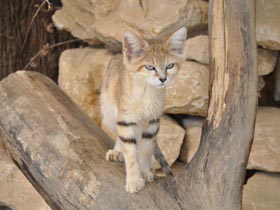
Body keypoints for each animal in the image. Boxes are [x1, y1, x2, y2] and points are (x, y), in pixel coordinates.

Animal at [99, 26, 187, 194]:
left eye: (169, 66)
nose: (163, 79)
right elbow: (131, 154)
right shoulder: (126, 120)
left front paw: (145, 172)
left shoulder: (152, 123)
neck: (147, 92)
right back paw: (117, 151)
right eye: (150, 67)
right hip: (110, 115)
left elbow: (146, 150)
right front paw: (134, 180)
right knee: (120, 137)